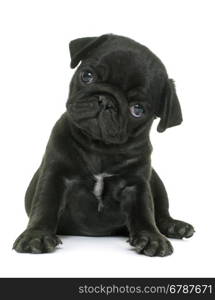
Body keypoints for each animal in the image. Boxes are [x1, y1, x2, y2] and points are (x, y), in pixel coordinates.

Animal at [13, 34, 195, 255]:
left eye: (137, 109)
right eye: (87, 76)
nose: (105, 100)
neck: (99, 147)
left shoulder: (136, 185)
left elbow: (144, 212)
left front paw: (152, 238)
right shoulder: (55, 174)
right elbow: (45, 204)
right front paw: (36, 235)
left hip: (157, 183)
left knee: (161, 214)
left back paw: (174, 226)